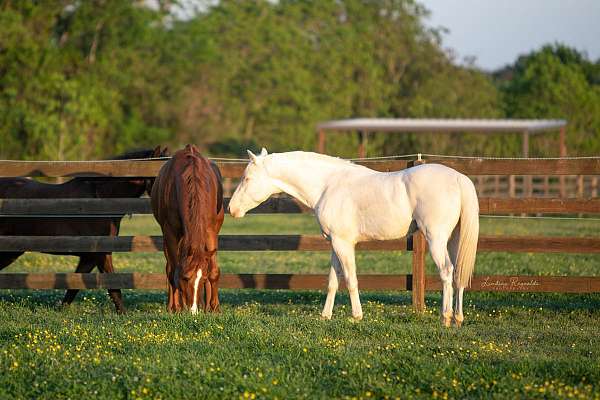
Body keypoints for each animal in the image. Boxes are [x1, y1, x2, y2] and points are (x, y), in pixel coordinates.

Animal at [0, 145, 170, 314]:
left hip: (11, 251)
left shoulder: (89, 258)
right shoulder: (101, 254)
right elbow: (113, 285)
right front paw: (123, 313)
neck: (101, 198)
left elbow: (73, 287)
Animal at [150, 144, 225, 312]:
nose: (193, 310)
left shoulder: (210, 230)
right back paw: (172, 306)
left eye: (202, 278)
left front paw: (214, 307)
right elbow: (173, 270)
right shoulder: (170, 232)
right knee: (169, 267)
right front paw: (176, 307)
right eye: (185, 278)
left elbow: (213, 270)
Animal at [230, 148, 478, 326]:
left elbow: (350, 279)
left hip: (436, 239)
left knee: (446, 271)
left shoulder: (344, 244)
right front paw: (325, 315)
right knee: (458, 273)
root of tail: (458, 178)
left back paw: (445, 317)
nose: (232, 209)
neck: (328, 185)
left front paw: (356, 315)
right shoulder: (334, 244)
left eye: (247, 179)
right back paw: (458, 318)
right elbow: (333, 280)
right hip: (454, 239)